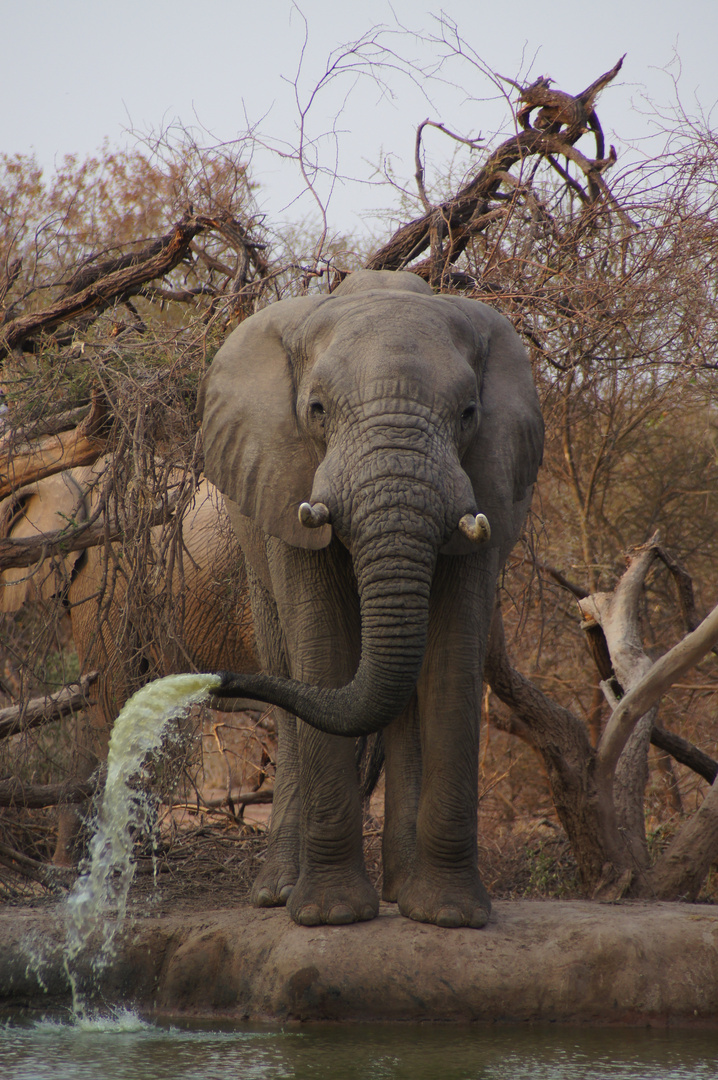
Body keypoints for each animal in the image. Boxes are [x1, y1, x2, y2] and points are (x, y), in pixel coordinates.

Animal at [198, 267, 539, 928]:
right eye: (317, 410)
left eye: (468, 413)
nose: (214, 681)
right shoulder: (287, 477)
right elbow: (321, 644)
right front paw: (329, 916)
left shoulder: (486, 481)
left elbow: (454, 657)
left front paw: (450, 916)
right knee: (287, 671)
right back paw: (278, 892)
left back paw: (401, 892)